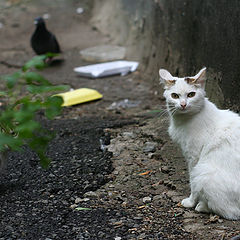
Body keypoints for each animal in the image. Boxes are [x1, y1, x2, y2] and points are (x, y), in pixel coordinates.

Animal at [159, 67, 240, 219]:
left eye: (191, 94)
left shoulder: (194, 157)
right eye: (175, 96)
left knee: (232, 212)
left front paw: (191, 202)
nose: (183, 104)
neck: (183, 120)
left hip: (204, 172)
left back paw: (202, 206)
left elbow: (192, 183)